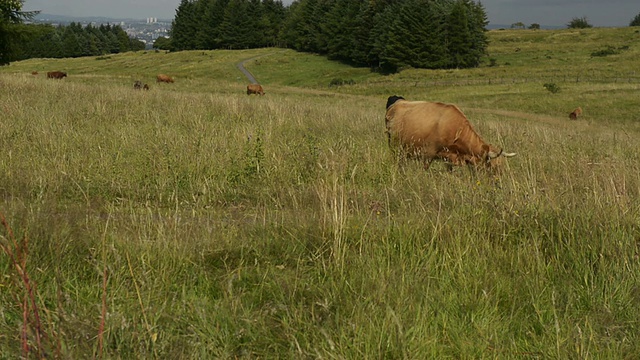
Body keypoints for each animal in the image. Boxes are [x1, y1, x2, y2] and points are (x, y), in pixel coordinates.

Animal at [384, 95, 516, 172]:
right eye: (493, 167)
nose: (498, 184)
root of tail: (397, 102)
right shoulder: (428, 154)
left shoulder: (449, 157)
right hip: (394, 146)